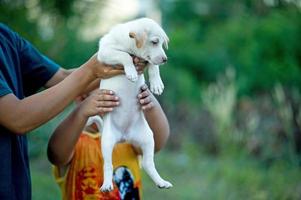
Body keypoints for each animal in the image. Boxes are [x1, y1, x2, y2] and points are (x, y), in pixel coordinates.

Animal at [86, 18, 171, 191]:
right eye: (154, 42)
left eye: (162, 43)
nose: (165, 59)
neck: (129, 43)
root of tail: (124, 136)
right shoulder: (106, 52)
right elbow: (124, 55)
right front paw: (131, 72)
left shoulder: (147, 59)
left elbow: (153, 66)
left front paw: (156, 84)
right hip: (107, 142)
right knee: (108, 165)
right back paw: (106, 185)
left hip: (148, 138)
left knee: (148, 164)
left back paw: (161, 182)